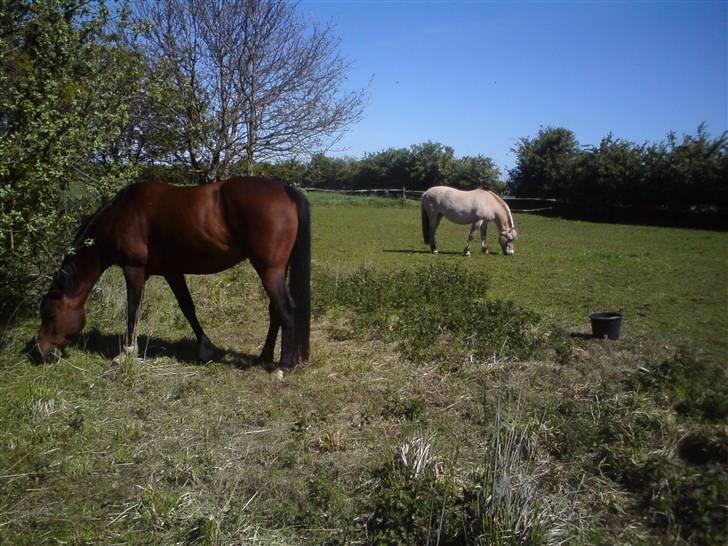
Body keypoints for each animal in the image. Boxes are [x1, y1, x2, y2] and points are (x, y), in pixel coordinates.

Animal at [37, 176, 310, 368]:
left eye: (49, 315)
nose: (42, 352)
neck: (121, 214)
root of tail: (285, 189)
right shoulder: (172, 272)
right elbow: (188, 308)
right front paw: (205, 348)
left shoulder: (134, 270)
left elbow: (133, 310)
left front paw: (126, 353)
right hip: (276, 270)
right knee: (275, 311)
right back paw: (264, 358)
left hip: (269, 270)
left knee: (286, 309)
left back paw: (283, 366)